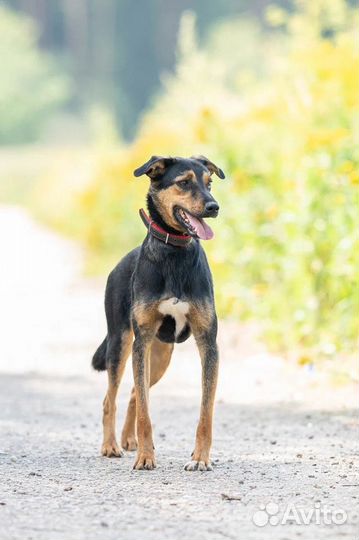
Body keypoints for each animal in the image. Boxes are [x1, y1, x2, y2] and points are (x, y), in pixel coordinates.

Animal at [92, 154, 225, 470]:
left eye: (209, 183)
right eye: (184, 182)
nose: (214, 207)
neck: (174, 253)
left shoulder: (208, 342)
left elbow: (205, 412)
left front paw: (200, 458)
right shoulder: (140, 341)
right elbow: (144, 412)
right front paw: (145, 457)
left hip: (161, 354)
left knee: (134, 393)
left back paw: (129, 440)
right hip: (122, 344)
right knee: (112, 398)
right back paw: (112, 445)